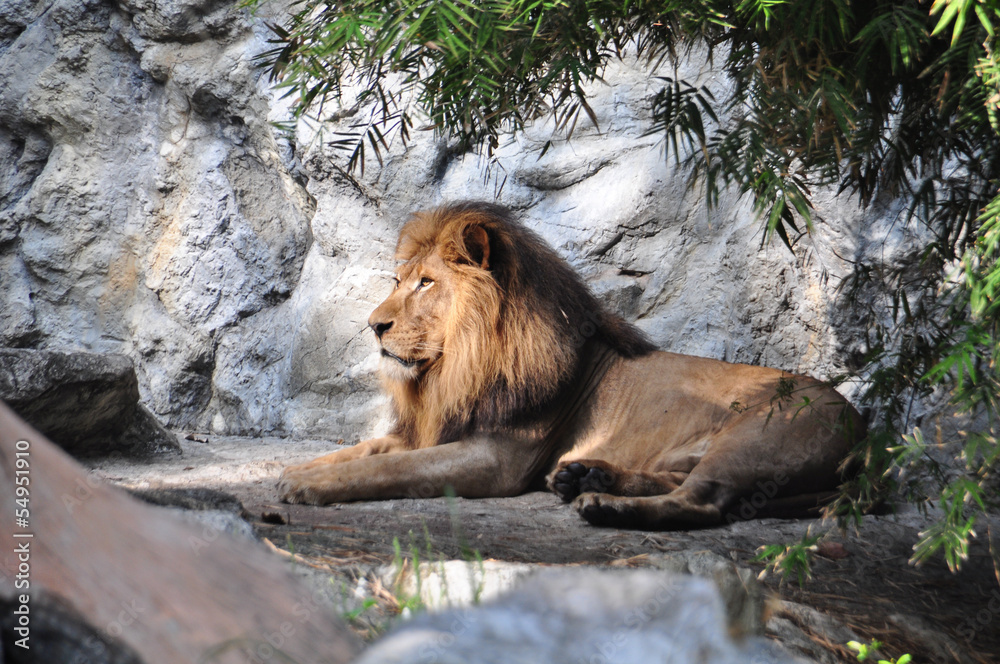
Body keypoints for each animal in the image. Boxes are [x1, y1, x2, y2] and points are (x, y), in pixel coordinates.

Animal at [279, 201, 863, 528]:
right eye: (400, 281)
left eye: (426, 283)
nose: (373, 325)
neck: (459, 367)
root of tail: (865, 429)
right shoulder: (435, 429)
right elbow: (362, 450)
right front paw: (297, 470)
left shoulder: (497, 458)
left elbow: (387, 468)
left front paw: (311, 486)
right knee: (680, 481)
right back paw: (585, 477)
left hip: (755, 437)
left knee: (704, 502)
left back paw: (605, 506)